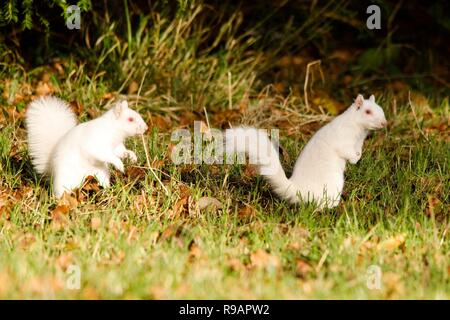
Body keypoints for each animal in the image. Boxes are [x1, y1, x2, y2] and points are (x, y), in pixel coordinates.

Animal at [225, 94, 386, 209]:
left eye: (381, 109)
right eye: (367, 112)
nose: (384, 123)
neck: (358, 130)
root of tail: (300, 191)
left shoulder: (358, 143)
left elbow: (357, 151)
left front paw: (358, 156)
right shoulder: (342, 140)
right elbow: (345, 151)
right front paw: (354, 158)